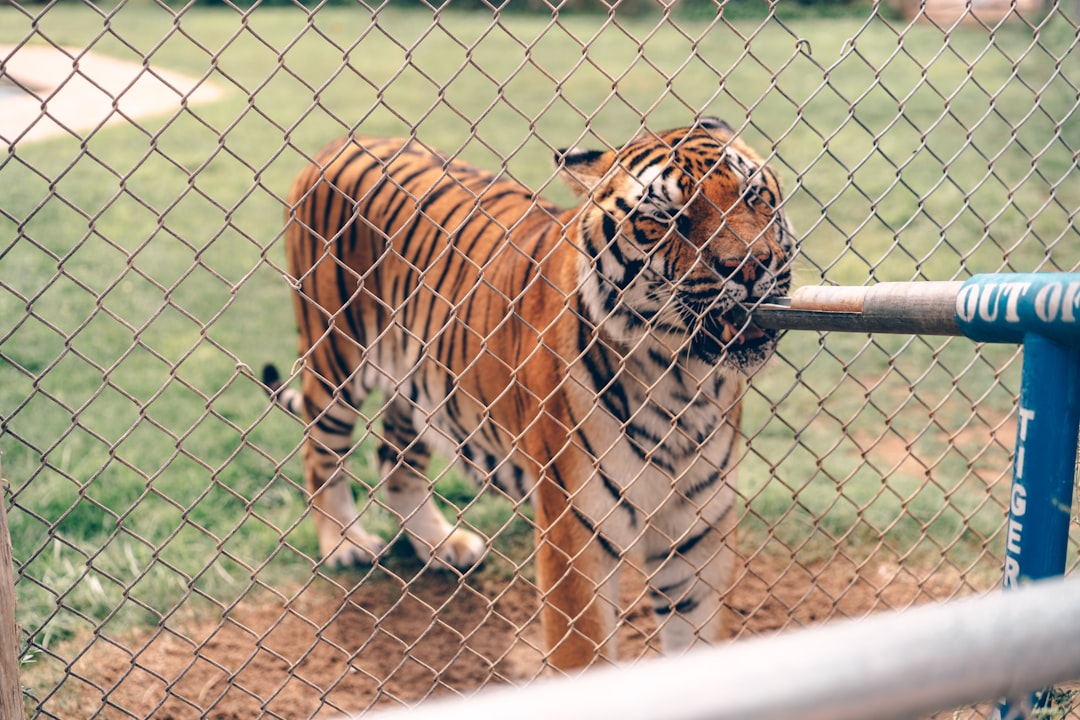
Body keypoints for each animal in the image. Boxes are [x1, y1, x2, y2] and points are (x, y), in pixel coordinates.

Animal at [263, 115, 794, 673]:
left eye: (753, 195)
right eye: (666, 218)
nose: (751, 266)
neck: (683, 380)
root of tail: (341, 142)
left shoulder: (696, 535)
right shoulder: (574, 534)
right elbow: (581, 655)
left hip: (416, 377)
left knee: (394, 457)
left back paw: (441, 544)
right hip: (334, 355)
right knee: (320, 452)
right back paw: (345, 544)